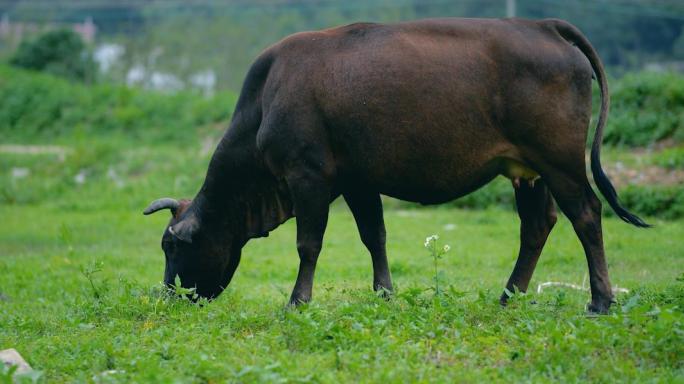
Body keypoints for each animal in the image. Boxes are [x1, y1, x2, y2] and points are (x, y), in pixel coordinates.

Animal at [143, 16, 648, 314]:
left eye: (172, 246)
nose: (168, 296)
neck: (266, 98)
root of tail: (542, 24)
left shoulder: (308, 175)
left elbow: (308, 244)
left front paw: (297, 302)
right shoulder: (357, 180)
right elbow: (375, 236)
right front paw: (385, 294)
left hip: (560, 159)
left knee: (586, 214)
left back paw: (600, 301)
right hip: (527, 169)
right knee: (538, 224)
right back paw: (508, 297)